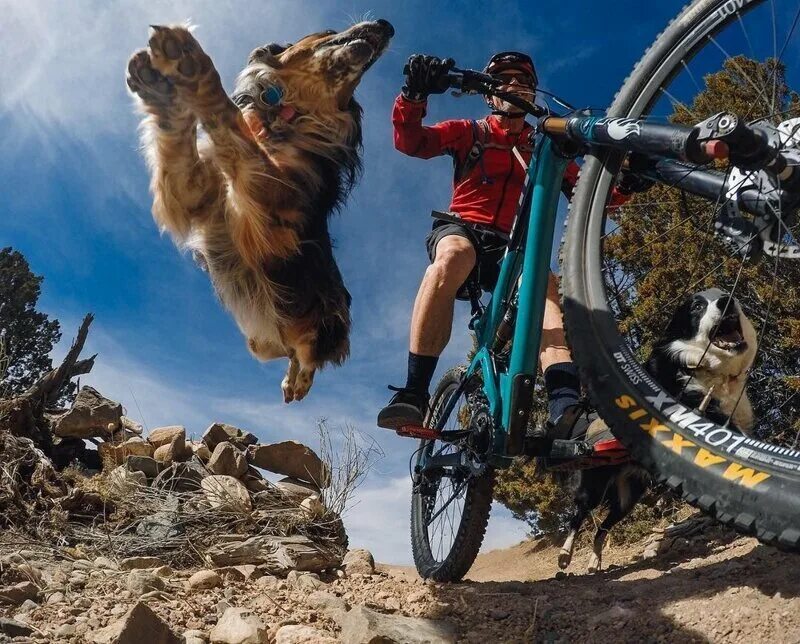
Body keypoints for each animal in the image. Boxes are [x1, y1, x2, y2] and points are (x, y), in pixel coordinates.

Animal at [126, 20, 396, 400]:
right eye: (328, 31)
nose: (387, 26)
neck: (289, 113)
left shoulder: (275, 200)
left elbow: (234, 126)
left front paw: (193, 67)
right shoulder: (194, 192)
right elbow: (180, 139)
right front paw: (159, 86)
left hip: (326, 324)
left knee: (310, 356)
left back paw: (299, 382)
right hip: (261, 342)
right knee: (289, 352)